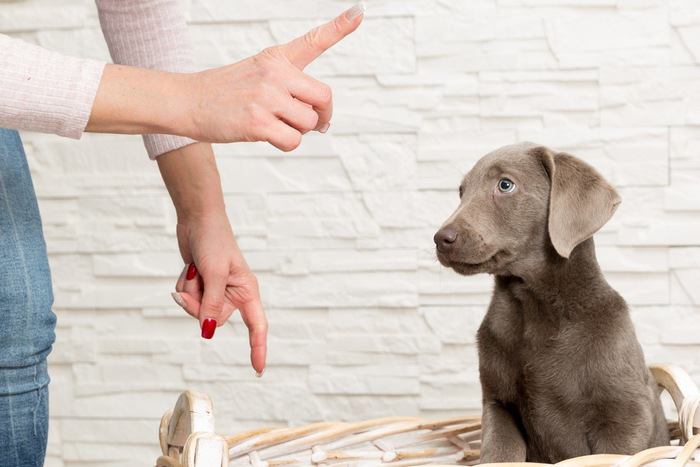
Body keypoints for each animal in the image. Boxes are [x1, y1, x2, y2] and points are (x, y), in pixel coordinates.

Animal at [434, 143, 668, 464]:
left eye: (505, 185)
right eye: (461, 191)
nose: (441, 239)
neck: (532, 307)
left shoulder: (626, 414)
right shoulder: (498, 404)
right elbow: (499, 451)